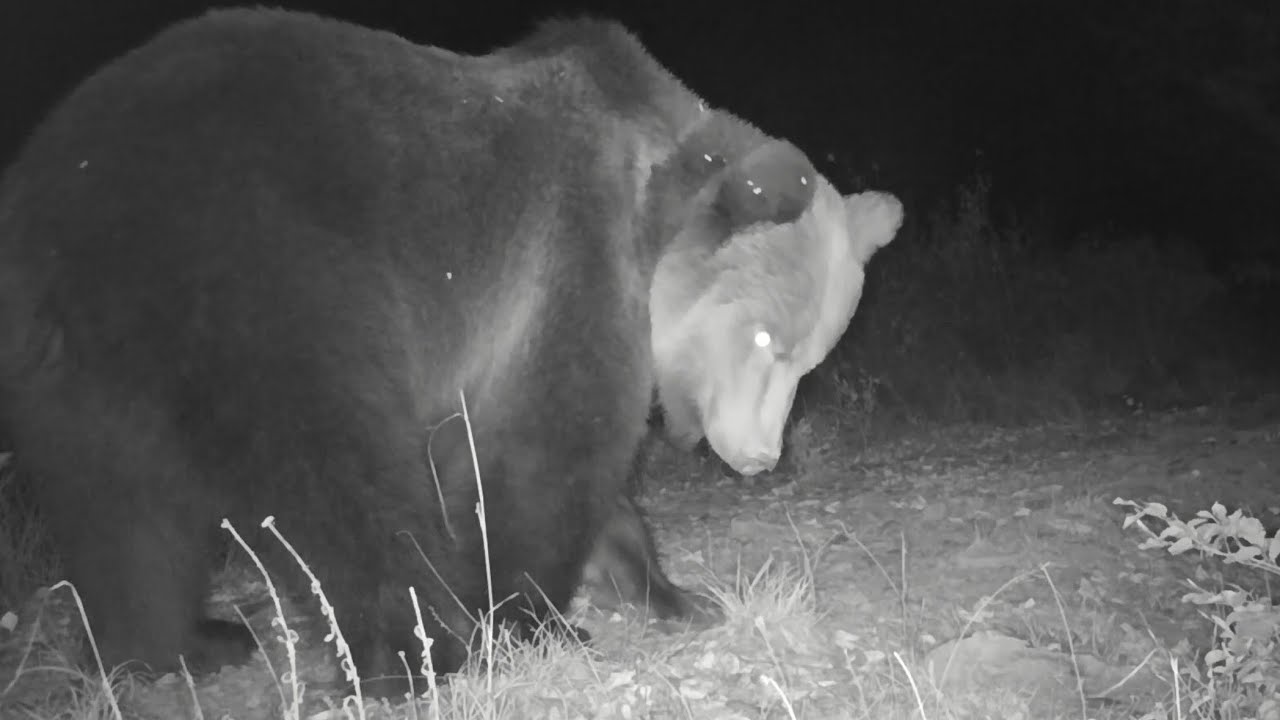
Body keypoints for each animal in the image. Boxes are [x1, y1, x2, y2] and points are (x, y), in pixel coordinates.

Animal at [0, 8, 903, 699]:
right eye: (765, 339)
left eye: (811, 359)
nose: (757, 457)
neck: (652, 199)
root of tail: (51, 191)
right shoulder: (571, 254)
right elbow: (545, 454)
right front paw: (542, 621)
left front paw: (671, 590)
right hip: (257, 276)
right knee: (334, 476)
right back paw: (424, 647)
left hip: (73, 365)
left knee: (120, 512)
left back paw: (176, 646)